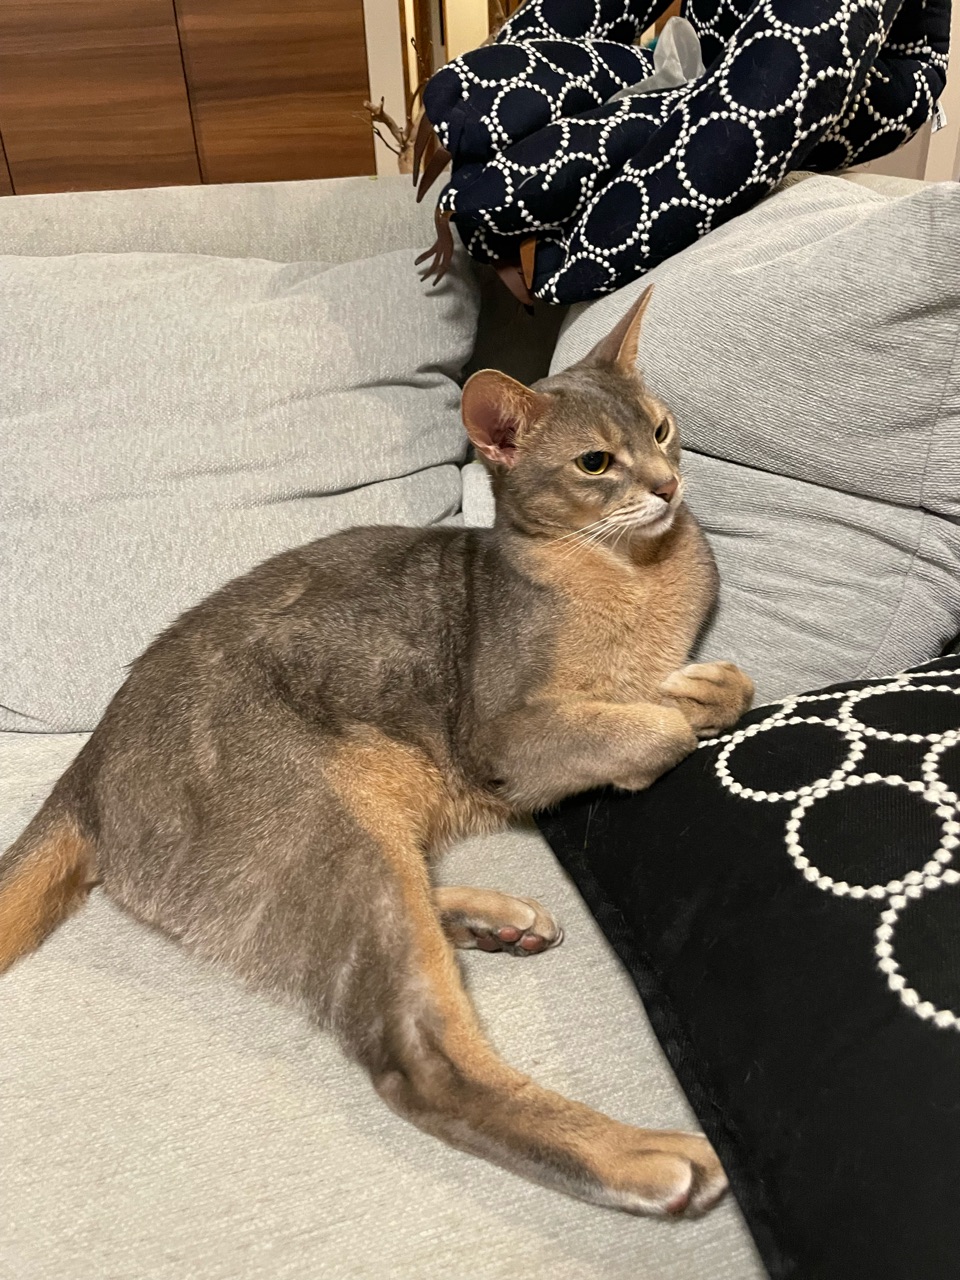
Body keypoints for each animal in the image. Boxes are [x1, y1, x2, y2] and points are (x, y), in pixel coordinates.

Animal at [0, 286, 754, 1218]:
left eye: (662, 429)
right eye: (594, 463)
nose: (669, 484)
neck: (637, 573)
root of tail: (89, 763)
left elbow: (716, 687)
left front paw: (698, 686)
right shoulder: (503, 731)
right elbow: (650, 728)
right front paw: (669, 712)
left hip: (371, 818)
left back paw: (491, 919)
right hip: (326, 825)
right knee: (418, 1058)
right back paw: (640, 1157)